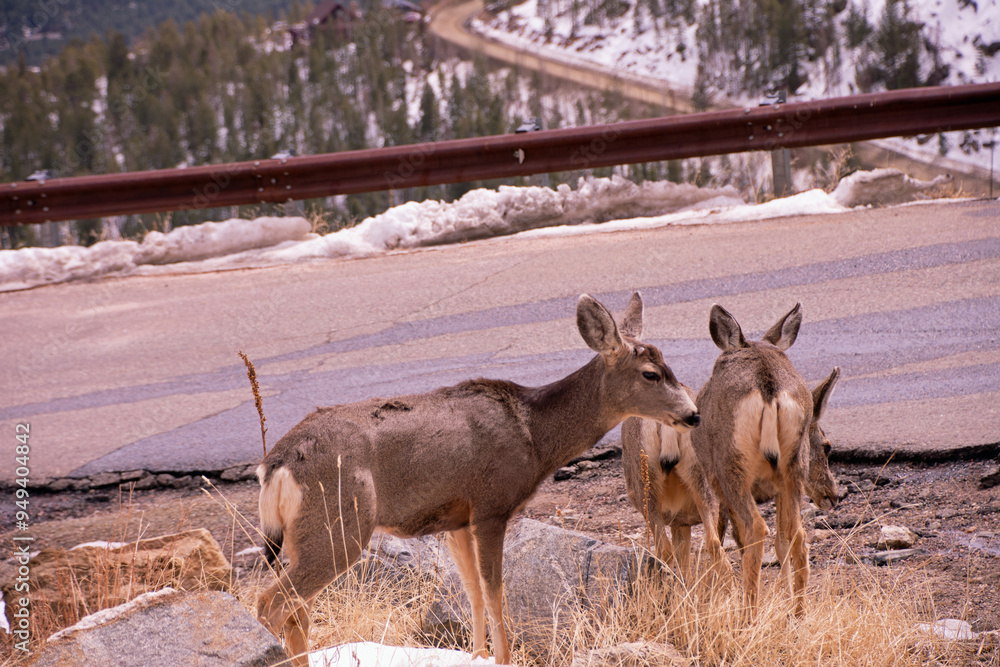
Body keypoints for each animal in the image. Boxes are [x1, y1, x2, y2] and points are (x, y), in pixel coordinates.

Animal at [254, 293, 700, 666]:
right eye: (650, 374)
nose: (694, 414)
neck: (533, 436)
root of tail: (276, 464)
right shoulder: (491, 505)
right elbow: (496, 591)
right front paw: (502, 658)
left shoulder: (455, 519)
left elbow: (470, 592)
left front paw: (479, 655)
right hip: (340, 523)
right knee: (272, 604)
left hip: (304, 536)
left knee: (296, 611)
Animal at [622, 366, 841, 583]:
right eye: (827, 446)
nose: (833, 495)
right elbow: (747, 542)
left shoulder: (680, 521)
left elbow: (684, 560)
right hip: (705, 484)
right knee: (714, 544)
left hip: (648, 493)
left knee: (665, 550)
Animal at [690, 302, 823, 616]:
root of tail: (768, 387)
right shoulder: (777, 486)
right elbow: (782, 540)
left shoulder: (718, 481)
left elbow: (731, 536)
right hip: (794, 466)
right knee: (798, 535)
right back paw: (798, 614)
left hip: (731, 466)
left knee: (756, 529)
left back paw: (748, 613)